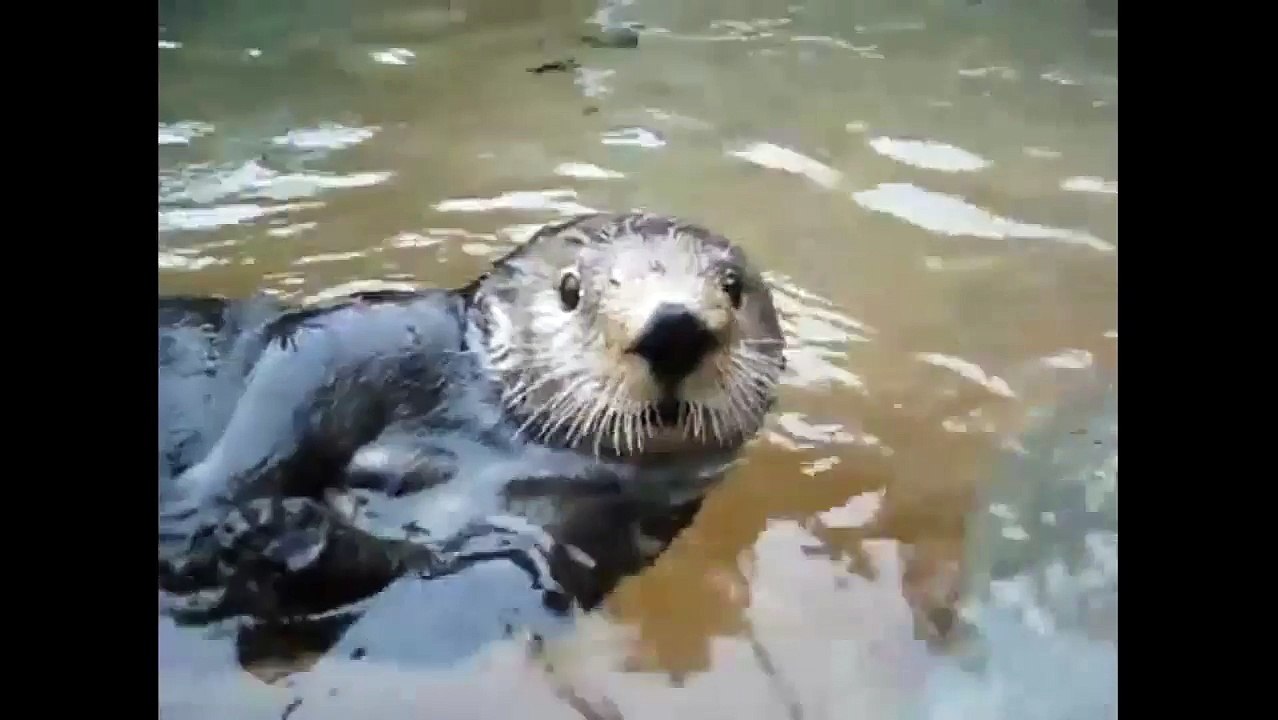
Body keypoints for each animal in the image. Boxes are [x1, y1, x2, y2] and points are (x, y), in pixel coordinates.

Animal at [158, 212, 786, 667]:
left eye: (732, 287)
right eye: (570, 290)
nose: (675, 329)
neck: (496, 436)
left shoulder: (586, 529)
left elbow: (475, 586)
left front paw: (286, 540)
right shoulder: (391, 334)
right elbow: (290, 381)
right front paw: (199, 507)